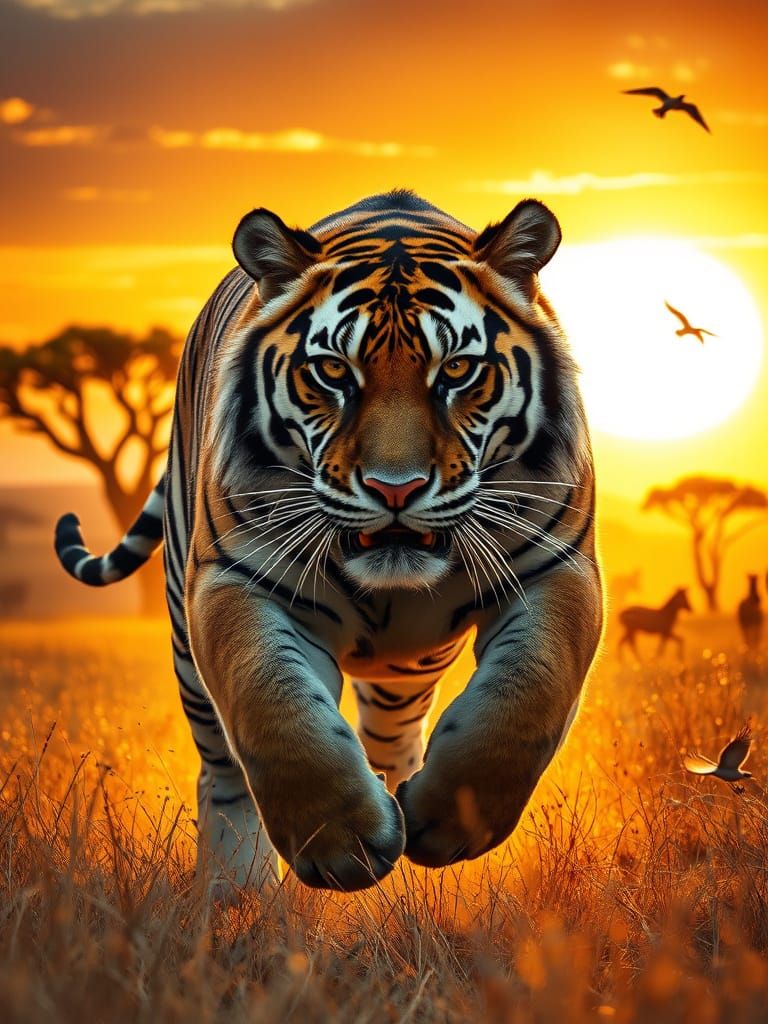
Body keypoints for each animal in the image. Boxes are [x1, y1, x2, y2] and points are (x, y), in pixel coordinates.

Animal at [54, 190, 603, 892]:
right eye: (332, 371)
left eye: (457, 369)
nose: (395, 488)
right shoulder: (233, 578)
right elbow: (277, 710)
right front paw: (344, 844)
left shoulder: (560, 568)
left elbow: (525, 696)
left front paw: (447, 820)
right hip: (186, 642)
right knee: (223, 774)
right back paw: (236, 895)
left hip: (406, 673)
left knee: (394, 733)